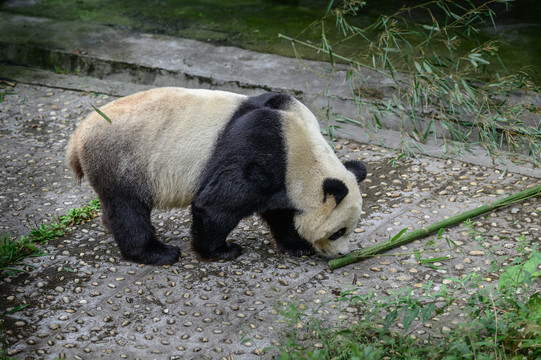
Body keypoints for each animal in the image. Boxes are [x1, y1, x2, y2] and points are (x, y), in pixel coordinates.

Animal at [65, 88, 364, 266]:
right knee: (129, 209)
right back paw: (159, 253)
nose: (342, 254)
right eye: (338, 231)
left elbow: (280, 212)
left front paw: (296, 245)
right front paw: (222, 250)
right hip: (123, 159)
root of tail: (77, 138)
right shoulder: (261, 150)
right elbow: (215, 205)